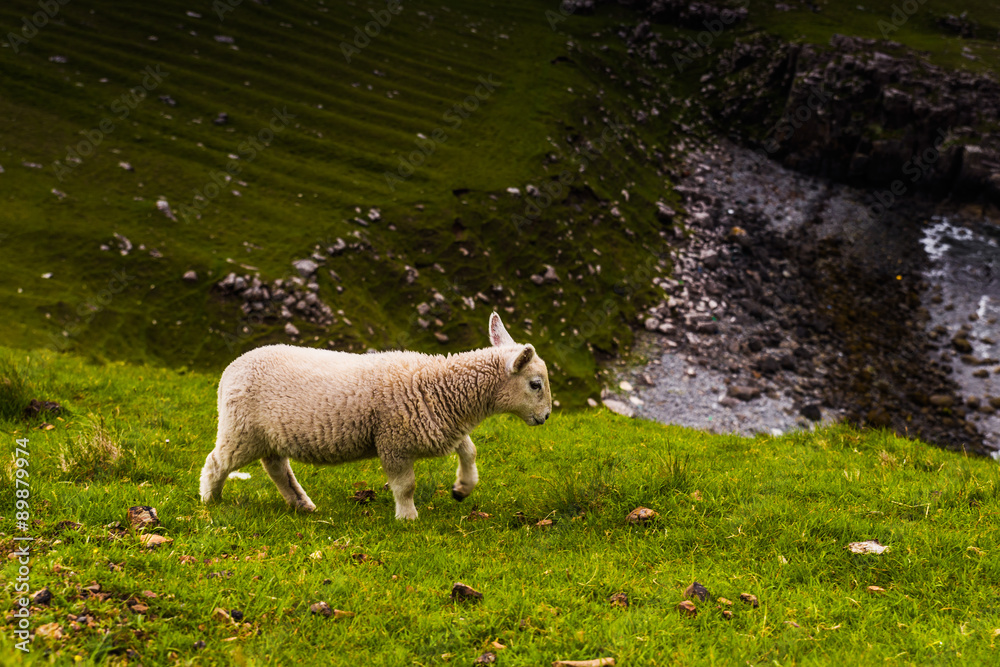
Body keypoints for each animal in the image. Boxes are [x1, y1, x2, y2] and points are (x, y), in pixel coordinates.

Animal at [199, 312, 551, 519]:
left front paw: (463, 487)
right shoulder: (393, 441)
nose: (546, 417)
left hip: (270, 436)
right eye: (535, 384)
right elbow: (406, 485)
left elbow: (470, 450)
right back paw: (210, 499)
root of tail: (230, 369)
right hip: (241, 431)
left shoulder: (441, 429)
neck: (442, 389)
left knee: (276, 468)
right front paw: (408, 517)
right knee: (216, 462)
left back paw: (301, 503)